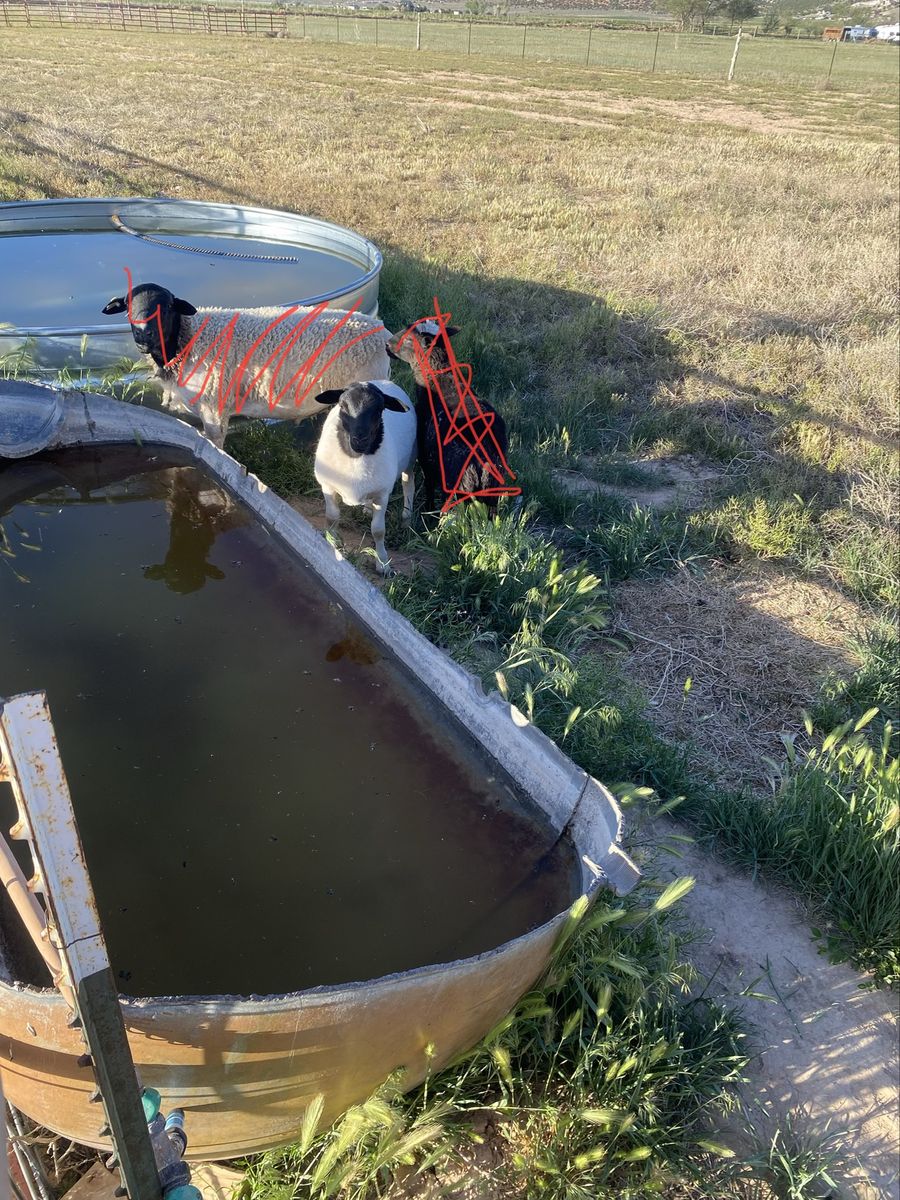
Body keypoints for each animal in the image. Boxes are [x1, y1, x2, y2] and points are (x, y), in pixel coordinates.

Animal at [101, 281, 393, 447]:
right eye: (128, 306)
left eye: (167, 306)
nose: (143, 334)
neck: (189, 340)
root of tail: (383, 333)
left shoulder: (215, 409)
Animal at [313, 380, 416, 575]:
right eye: (342, 406)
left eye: (380, 409)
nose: (360, 440)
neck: (356, 457)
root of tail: (384, 381)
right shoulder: (328, 486)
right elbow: (332, 517)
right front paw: (333, 544)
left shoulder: (383, 494)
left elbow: (378, 530)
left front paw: (382, 563)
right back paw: (368, 509)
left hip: (411, 459)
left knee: (408, 485)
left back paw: (407, 518)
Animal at [386, 319, 513, 513]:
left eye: (408, 339)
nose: (387, 344)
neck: (438, 380)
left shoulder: (426, 458)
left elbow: (429, 486)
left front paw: (427, 510)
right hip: (492, 490)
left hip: (458, 489)